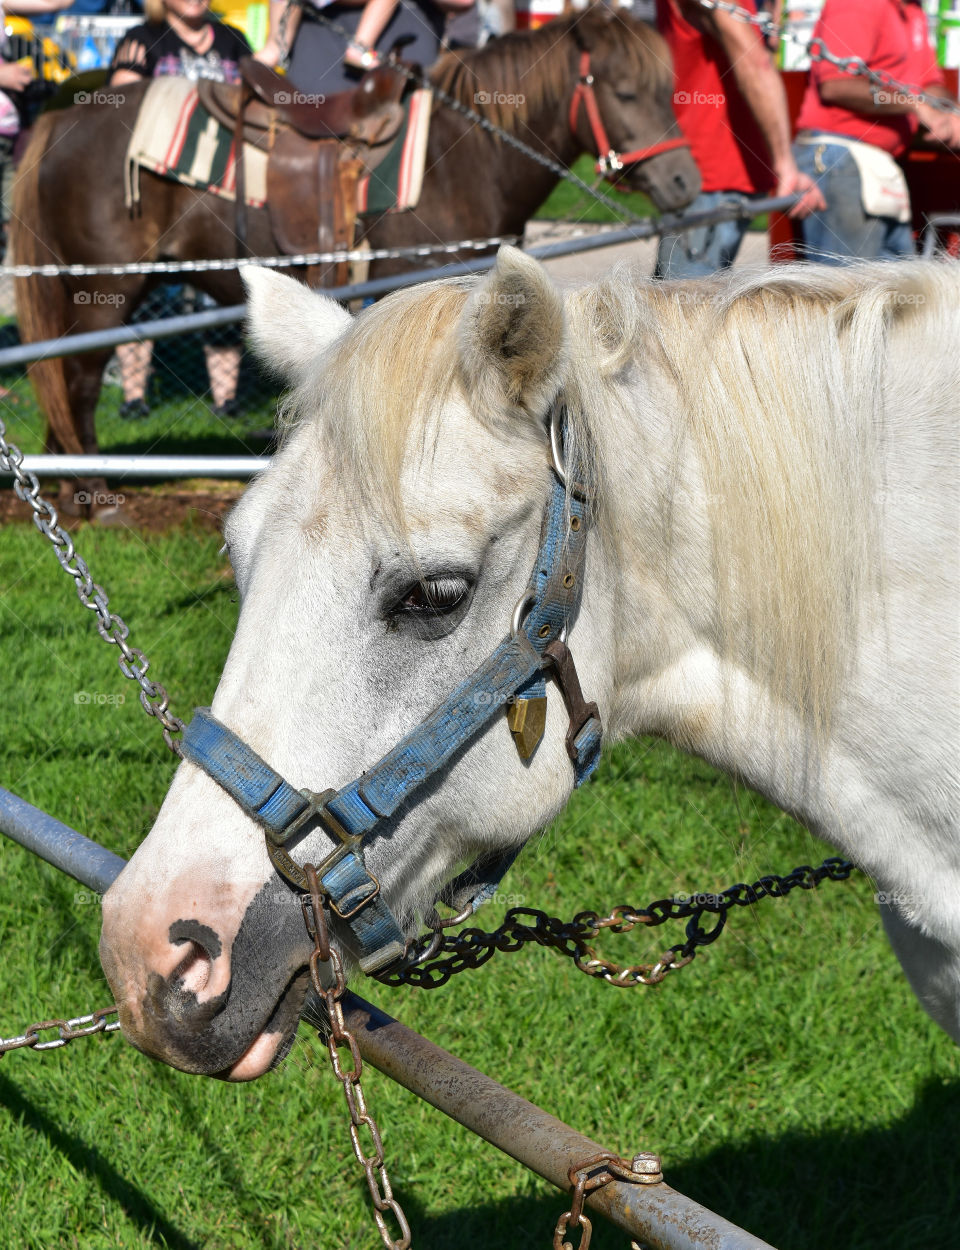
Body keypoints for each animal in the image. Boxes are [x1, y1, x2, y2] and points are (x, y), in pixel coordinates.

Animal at [11, 5, 700, 463]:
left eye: (668, 89)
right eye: (624, 92)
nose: (685, 180)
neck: (461, 156)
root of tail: (63, 119)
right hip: (103, 290)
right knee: (76, 381)